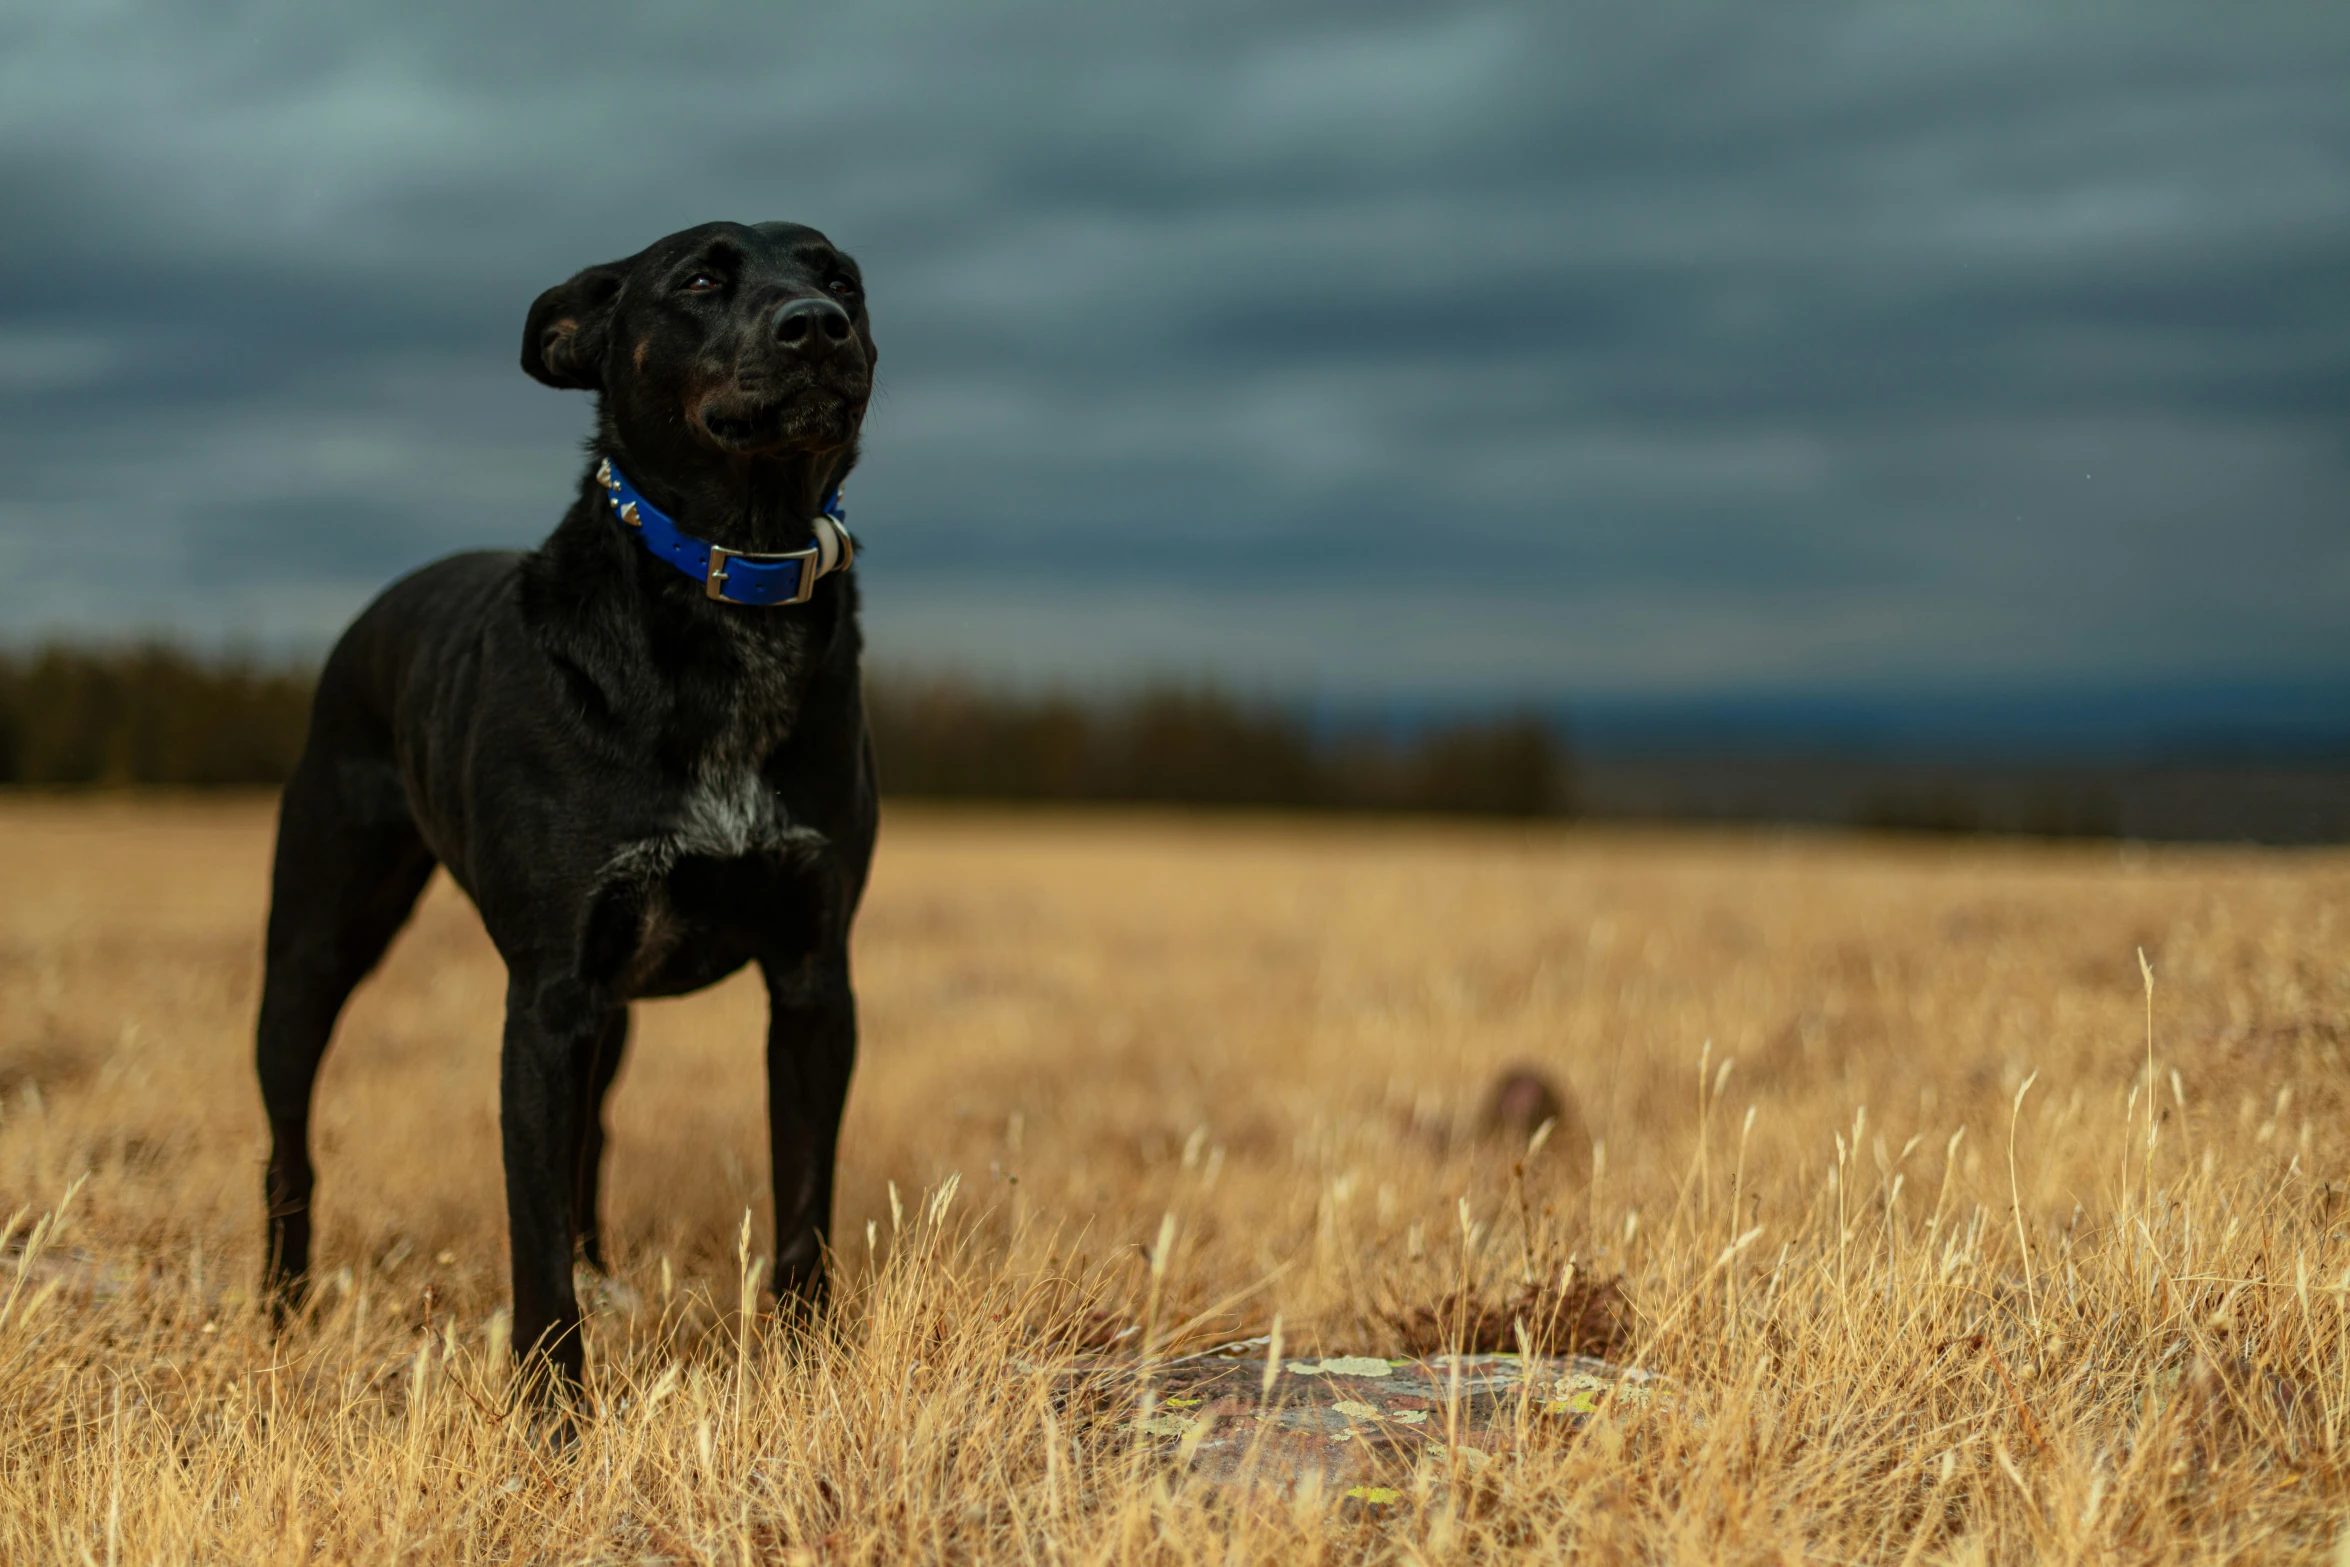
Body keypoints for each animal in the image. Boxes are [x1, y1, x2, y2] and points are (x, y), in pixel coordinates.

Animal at [259, 223, 883, 1400]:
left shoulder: (813, 976)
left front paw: (806, 1366)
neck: (738, 582)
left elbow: (806, 1203)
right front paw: (553, 1409)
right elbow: (533, 1232)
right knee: (290, 1141)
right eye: (699, 277)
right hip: (313, 943)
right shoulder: (549, 999)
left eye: (842, 279)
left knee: (595, 1137)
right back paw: (279, 1316)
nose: (816, 326)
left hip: (618, 1005)